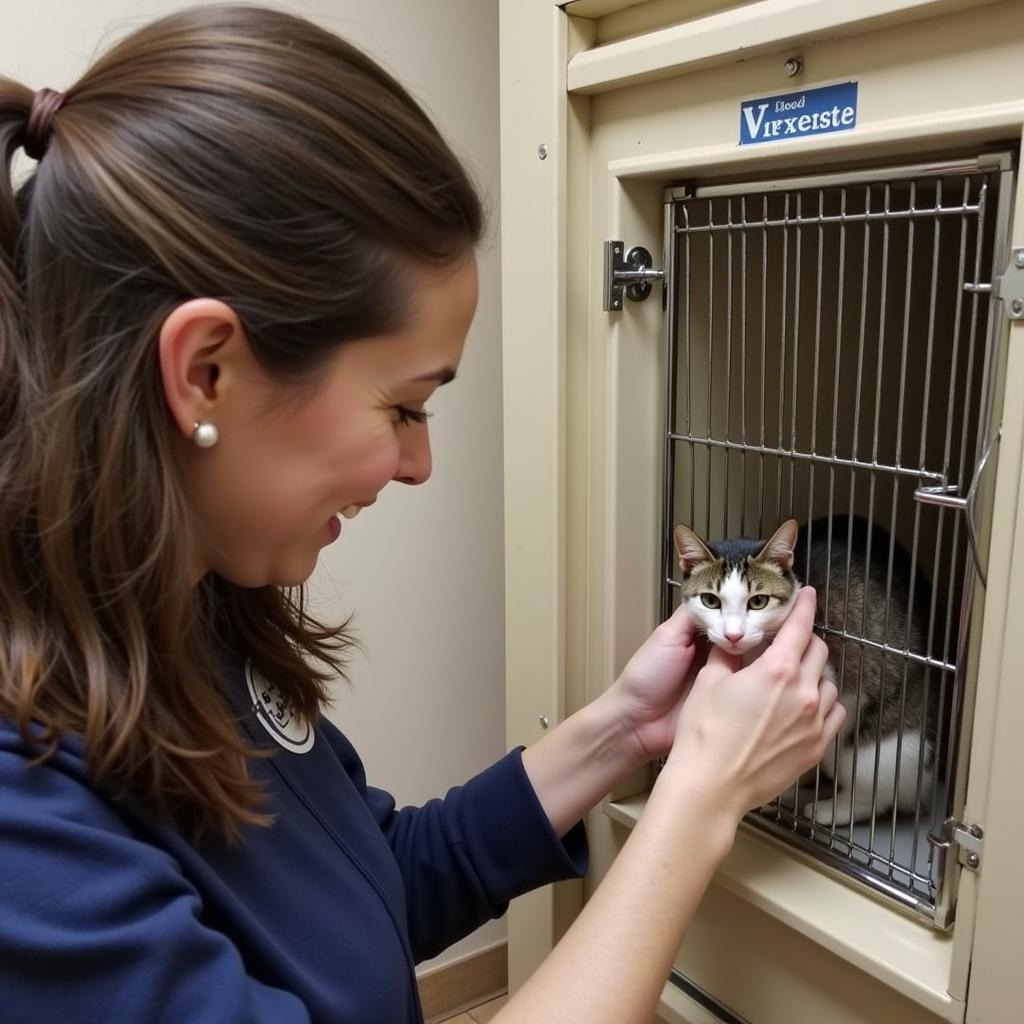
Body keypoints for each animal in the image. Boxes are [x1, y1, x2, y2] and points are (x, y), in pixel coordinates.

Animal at [671, 516, 937, 827]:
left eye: (758, 601)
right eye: (710, 601)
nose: (733, 635)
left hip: (887, 751)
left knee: (872, 790)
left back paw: (830, 809)